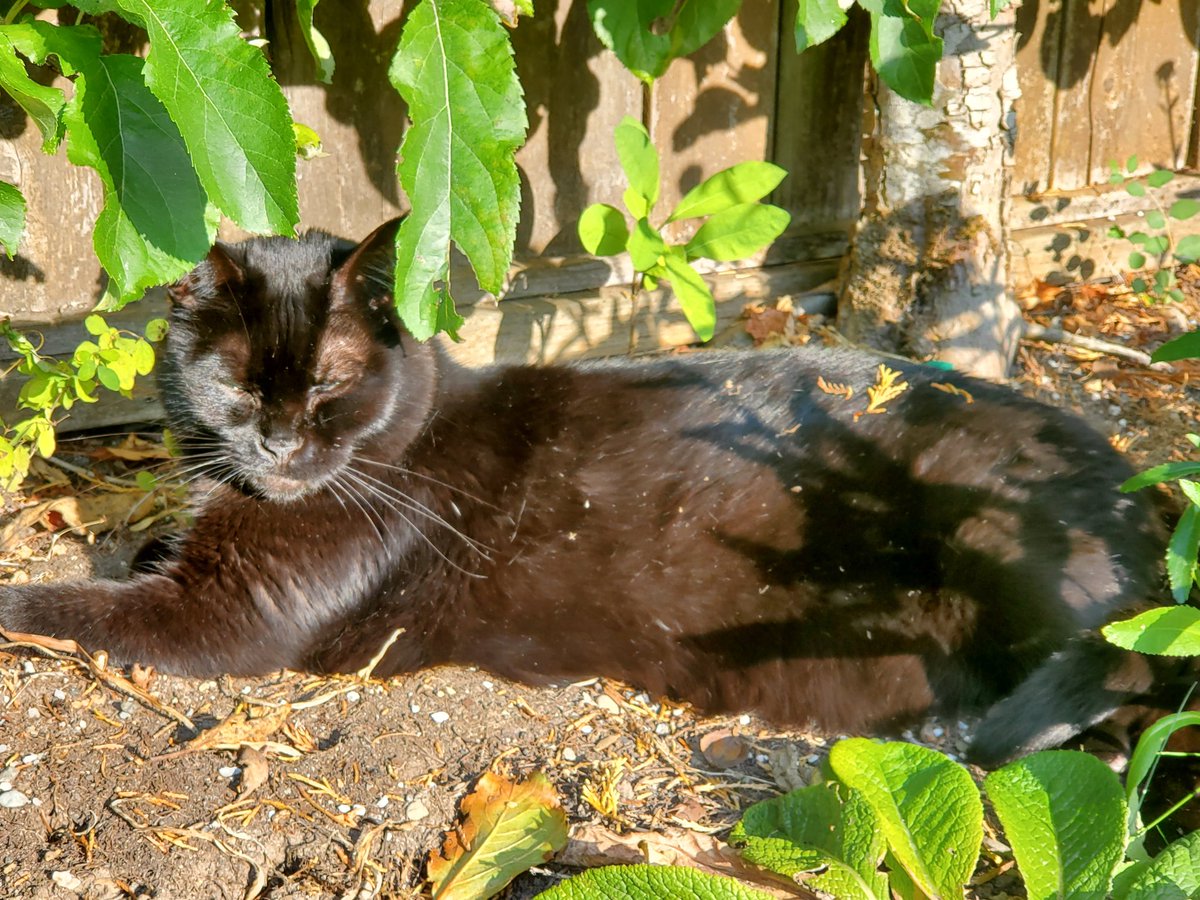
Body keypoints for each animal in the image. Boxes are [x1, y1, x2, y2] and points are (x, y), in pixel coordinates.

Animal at [0, 218, 1180, 763]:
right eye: (244, 384)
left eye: (330, 382)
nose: (283, 443)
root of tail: (1137, 497)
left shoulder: (230, 614)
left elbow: (69, 603)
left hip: (1005, 539)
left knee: (1136, 676)